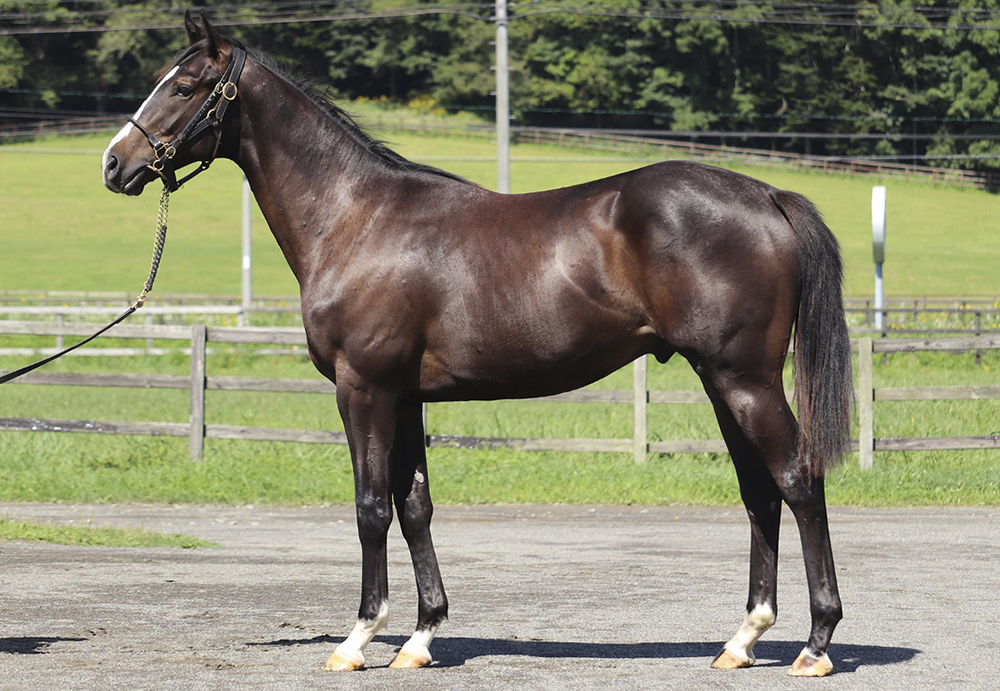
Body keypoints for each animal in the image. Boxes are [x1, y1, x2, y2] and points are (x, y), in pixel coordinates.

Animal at [102, 11, 852, 677]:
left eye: (185, 85)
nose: (115, 164)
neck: (355, 218)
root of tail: (767, 195)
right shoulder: (405, 397)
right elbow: (415, 508)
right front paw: (419, 638)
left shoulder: (363, 388)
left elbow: (370, 507)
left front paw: (358, 638)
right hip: (720, 380)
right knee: (759, 492)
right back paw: (742, 639)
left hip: (744, 379)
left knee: (797, 480)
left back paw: (815, 644)